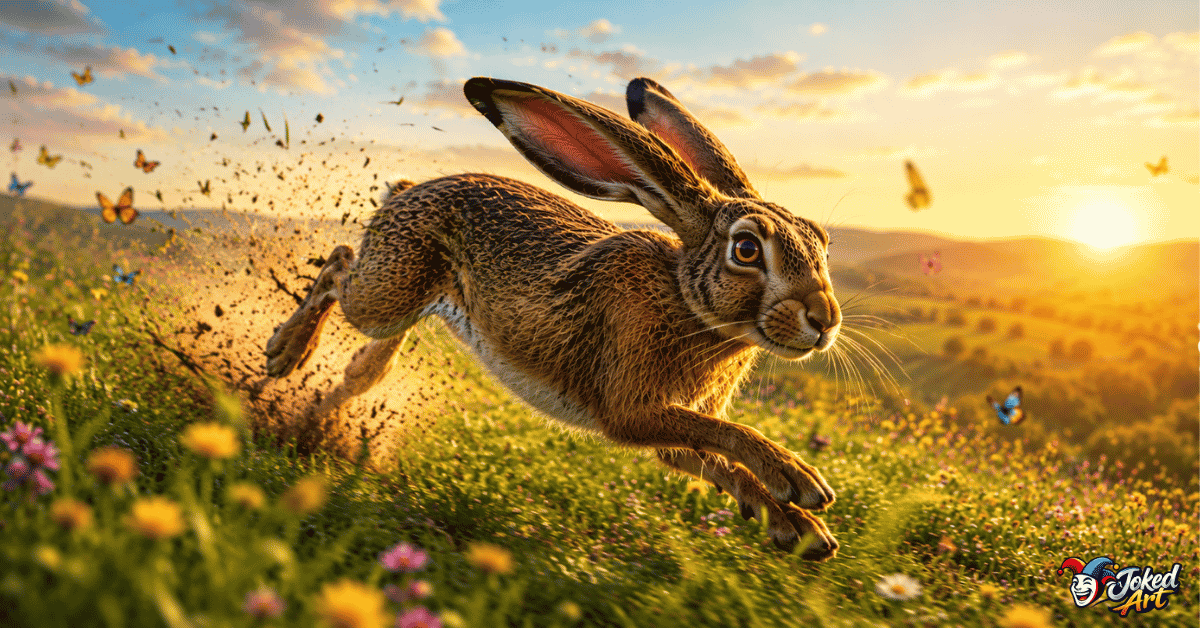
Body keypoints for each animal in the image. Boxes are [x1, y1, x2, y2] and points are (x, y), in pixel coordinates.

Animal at [264, 76, 842, 560]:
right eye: (746, 249)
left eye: (822, 241)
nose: (825, 320)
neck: (687, 301)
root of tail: (407, 192)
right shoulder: (630, 409)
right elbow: (729, 435)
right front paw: (800, 482)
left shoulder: (670, 430)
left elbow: (715, 458)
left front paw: (801, 529)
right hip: (384, 294)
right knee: (340, 263)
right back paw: (285, 354)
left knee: (371, 346)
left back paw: (331, 400)